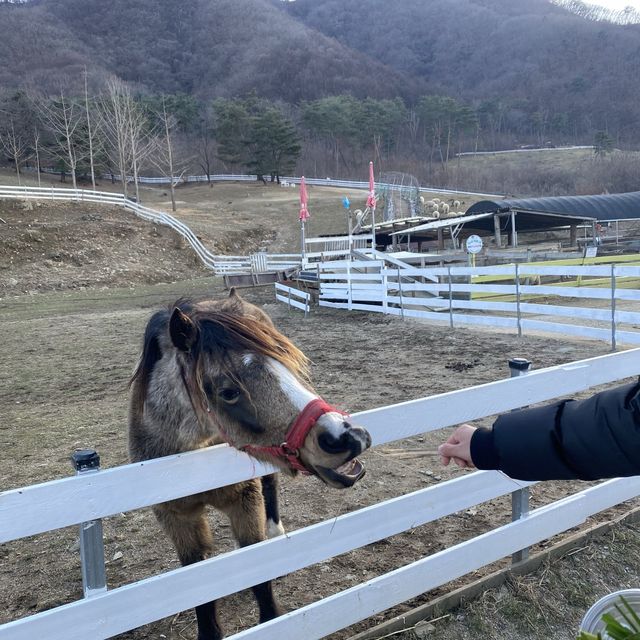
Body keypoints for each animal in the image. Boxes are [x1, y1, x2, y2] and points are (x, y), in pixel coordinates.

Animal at [129, 292, 370, 640]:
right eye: (228, 392)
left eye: (288, 365)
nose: (347, 437)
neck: (188, 463)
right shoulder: (177, 519)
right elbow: (197, 586)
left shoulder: (245, 501)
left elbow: (259, 573)